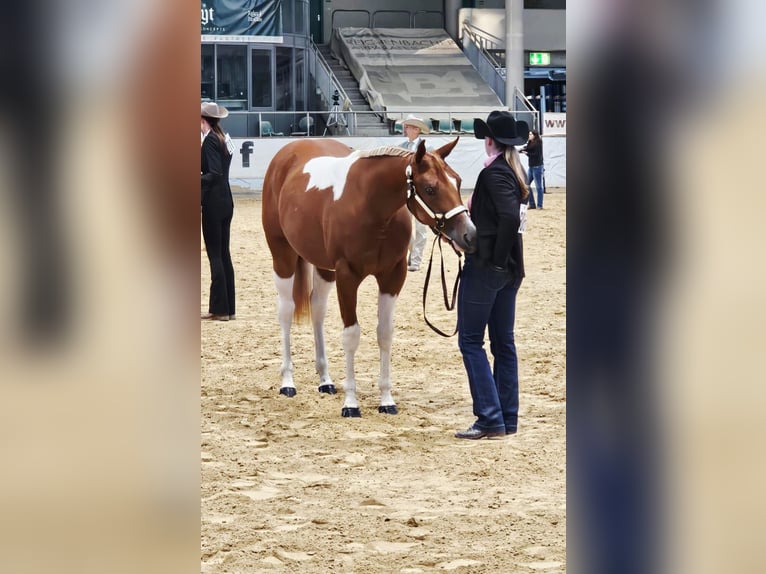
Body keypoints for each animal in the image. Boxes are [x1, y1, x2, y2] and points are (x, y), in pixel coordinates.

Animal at [262, 138, 476, 417]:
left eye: (458, 181)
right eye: (430, 189)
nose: (469, 234)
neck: (371, 206)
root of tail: (288, 152)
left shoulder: (392, 276)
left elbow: (384, 334)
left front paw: (386, 400)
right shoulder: (347, 276)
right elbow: (351, 336)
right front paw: (351, 403)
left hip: (323, 268)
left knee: (317, 310)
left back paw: (325, 380)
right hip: (283, 255)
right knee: (286, 311)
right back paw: (288, 382)